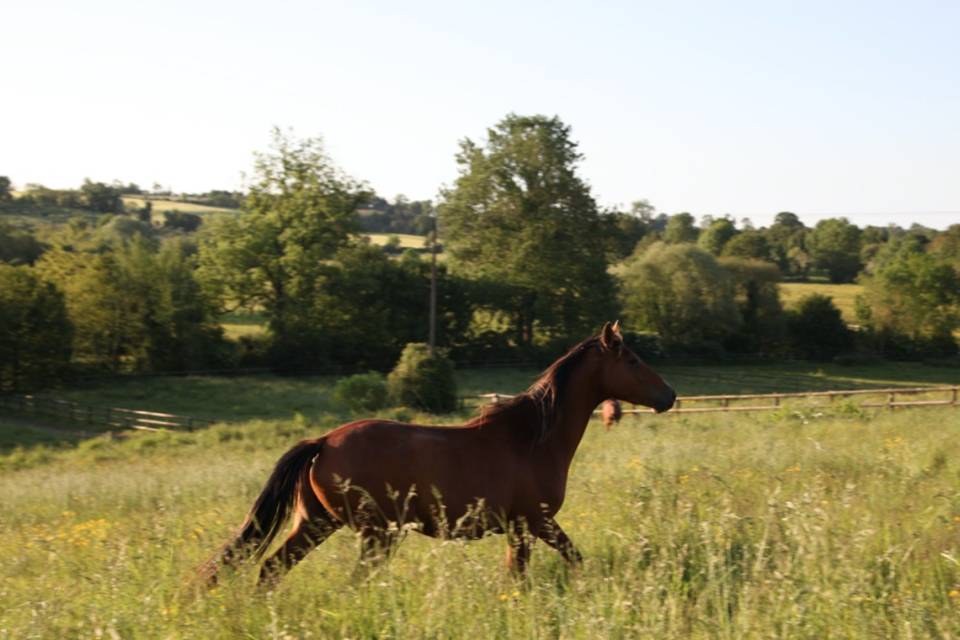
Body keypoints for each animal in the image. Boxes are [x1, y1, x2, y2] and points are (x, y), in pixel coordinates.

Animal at [199, 322, 675, 586]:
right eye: (632, 361)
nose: (669, 396)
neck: (533, 440)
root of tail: (322, 442)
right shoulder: (534, 523)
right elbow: (564, 562)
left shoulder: (520, 529)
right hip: (376, 533)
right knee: (353, 581)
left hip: (316, 523)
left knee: (271, 570)